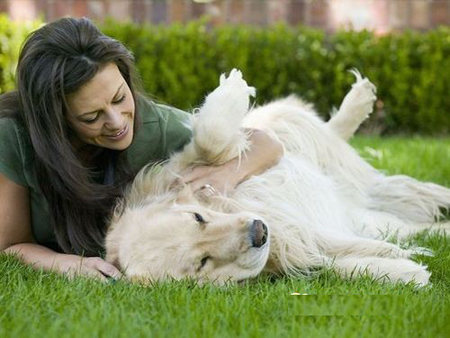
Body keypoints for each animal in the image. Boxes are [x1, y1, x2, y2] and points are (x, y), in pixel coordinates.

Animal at [106, 70, 450, 286]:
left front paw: (232, 89)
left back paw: (359, 100)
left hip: (296, 135)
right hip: (369, 216)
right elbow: (336, 265)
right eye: (202, 262)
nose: (258, 232)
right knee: (414, 222)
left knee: (317, 128)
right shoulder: (299, 250)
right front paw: (404, 271)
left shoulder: (184, 163)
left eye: (198, 217)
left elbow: (209, 139)